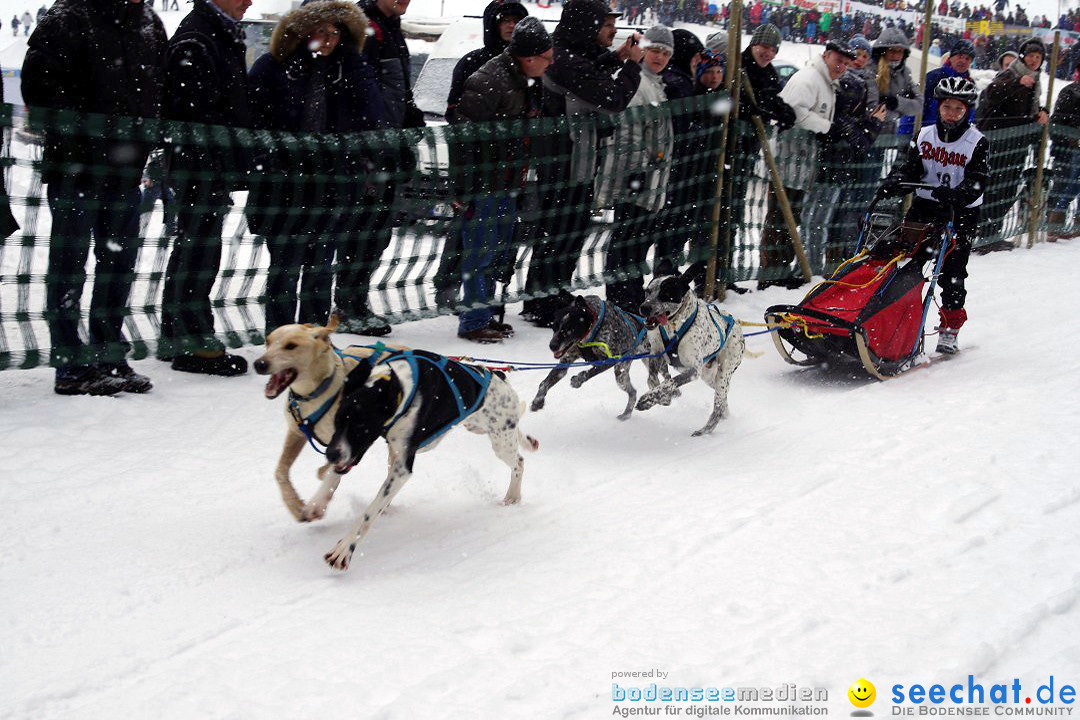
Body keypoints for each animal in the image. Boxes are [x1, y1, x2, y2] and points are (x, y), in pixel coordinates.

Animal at [252, 317, 408, 526]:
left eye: (290, 346)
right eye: (267, 342)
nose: (259, 363)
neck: (313, 393)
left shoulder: (354, 437)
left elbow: (330, 467)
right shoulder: (296, 433)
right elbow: (280, 472)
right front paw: (295, 506)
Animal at [319, 349, 540, 574]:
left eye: (361, 426)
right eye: (337, 420)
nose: (330, 454)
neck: (399, 385)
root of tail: (499, 376)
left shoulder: (402, 467)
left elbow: (369, 514)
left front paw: (344, 550)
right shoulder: (384, 452)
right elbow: (335, 477)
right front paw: (317, 504)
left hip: (500, 441)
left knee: (519, 462)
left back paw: (513, 496)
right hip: (482, 429)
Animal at [529, 293, 669, 418]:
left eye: (569, 329)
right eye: (554, 326)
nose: (552, 345)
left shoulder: (609, 360)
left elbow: (588, 373)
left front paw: (578, 380)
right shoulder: (566, 360)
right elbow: (544, 383)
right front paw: (538, 401)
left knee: (664, 378)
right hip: (621, 376)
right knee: (633, 392)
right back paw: (626, 414)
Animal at [635, 273, 747, 436]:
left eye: (666, 293)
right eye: (647, 291)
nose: (644, 307)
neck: (674, 325)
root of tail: (736, 323)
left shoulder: (693, 370)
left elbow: (669, 382)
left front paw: (648, 399)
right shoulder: (657, 353)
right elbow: (652, 379)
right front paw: (661, 398)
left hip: (723, 373)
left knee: (718, 406)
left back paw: (704, 430)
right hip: (709, 377)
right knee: (722, 399)